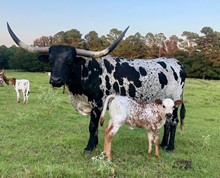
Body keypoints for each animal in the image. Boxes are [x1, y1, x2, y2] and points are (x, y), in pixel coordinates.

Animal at [6, 23, 186, 152]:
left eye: (70, 61)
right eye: (50, 60)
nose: (55, 80)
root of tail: (177, 63)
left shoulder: (98, 104)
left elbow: (92, 126)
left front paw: (89, 147)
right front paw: (95, 143)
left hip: (174, 100)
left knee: (174, 122)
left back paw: (170, 147)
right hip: (164, 104)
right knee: (168, 122)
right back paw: (163, 144)